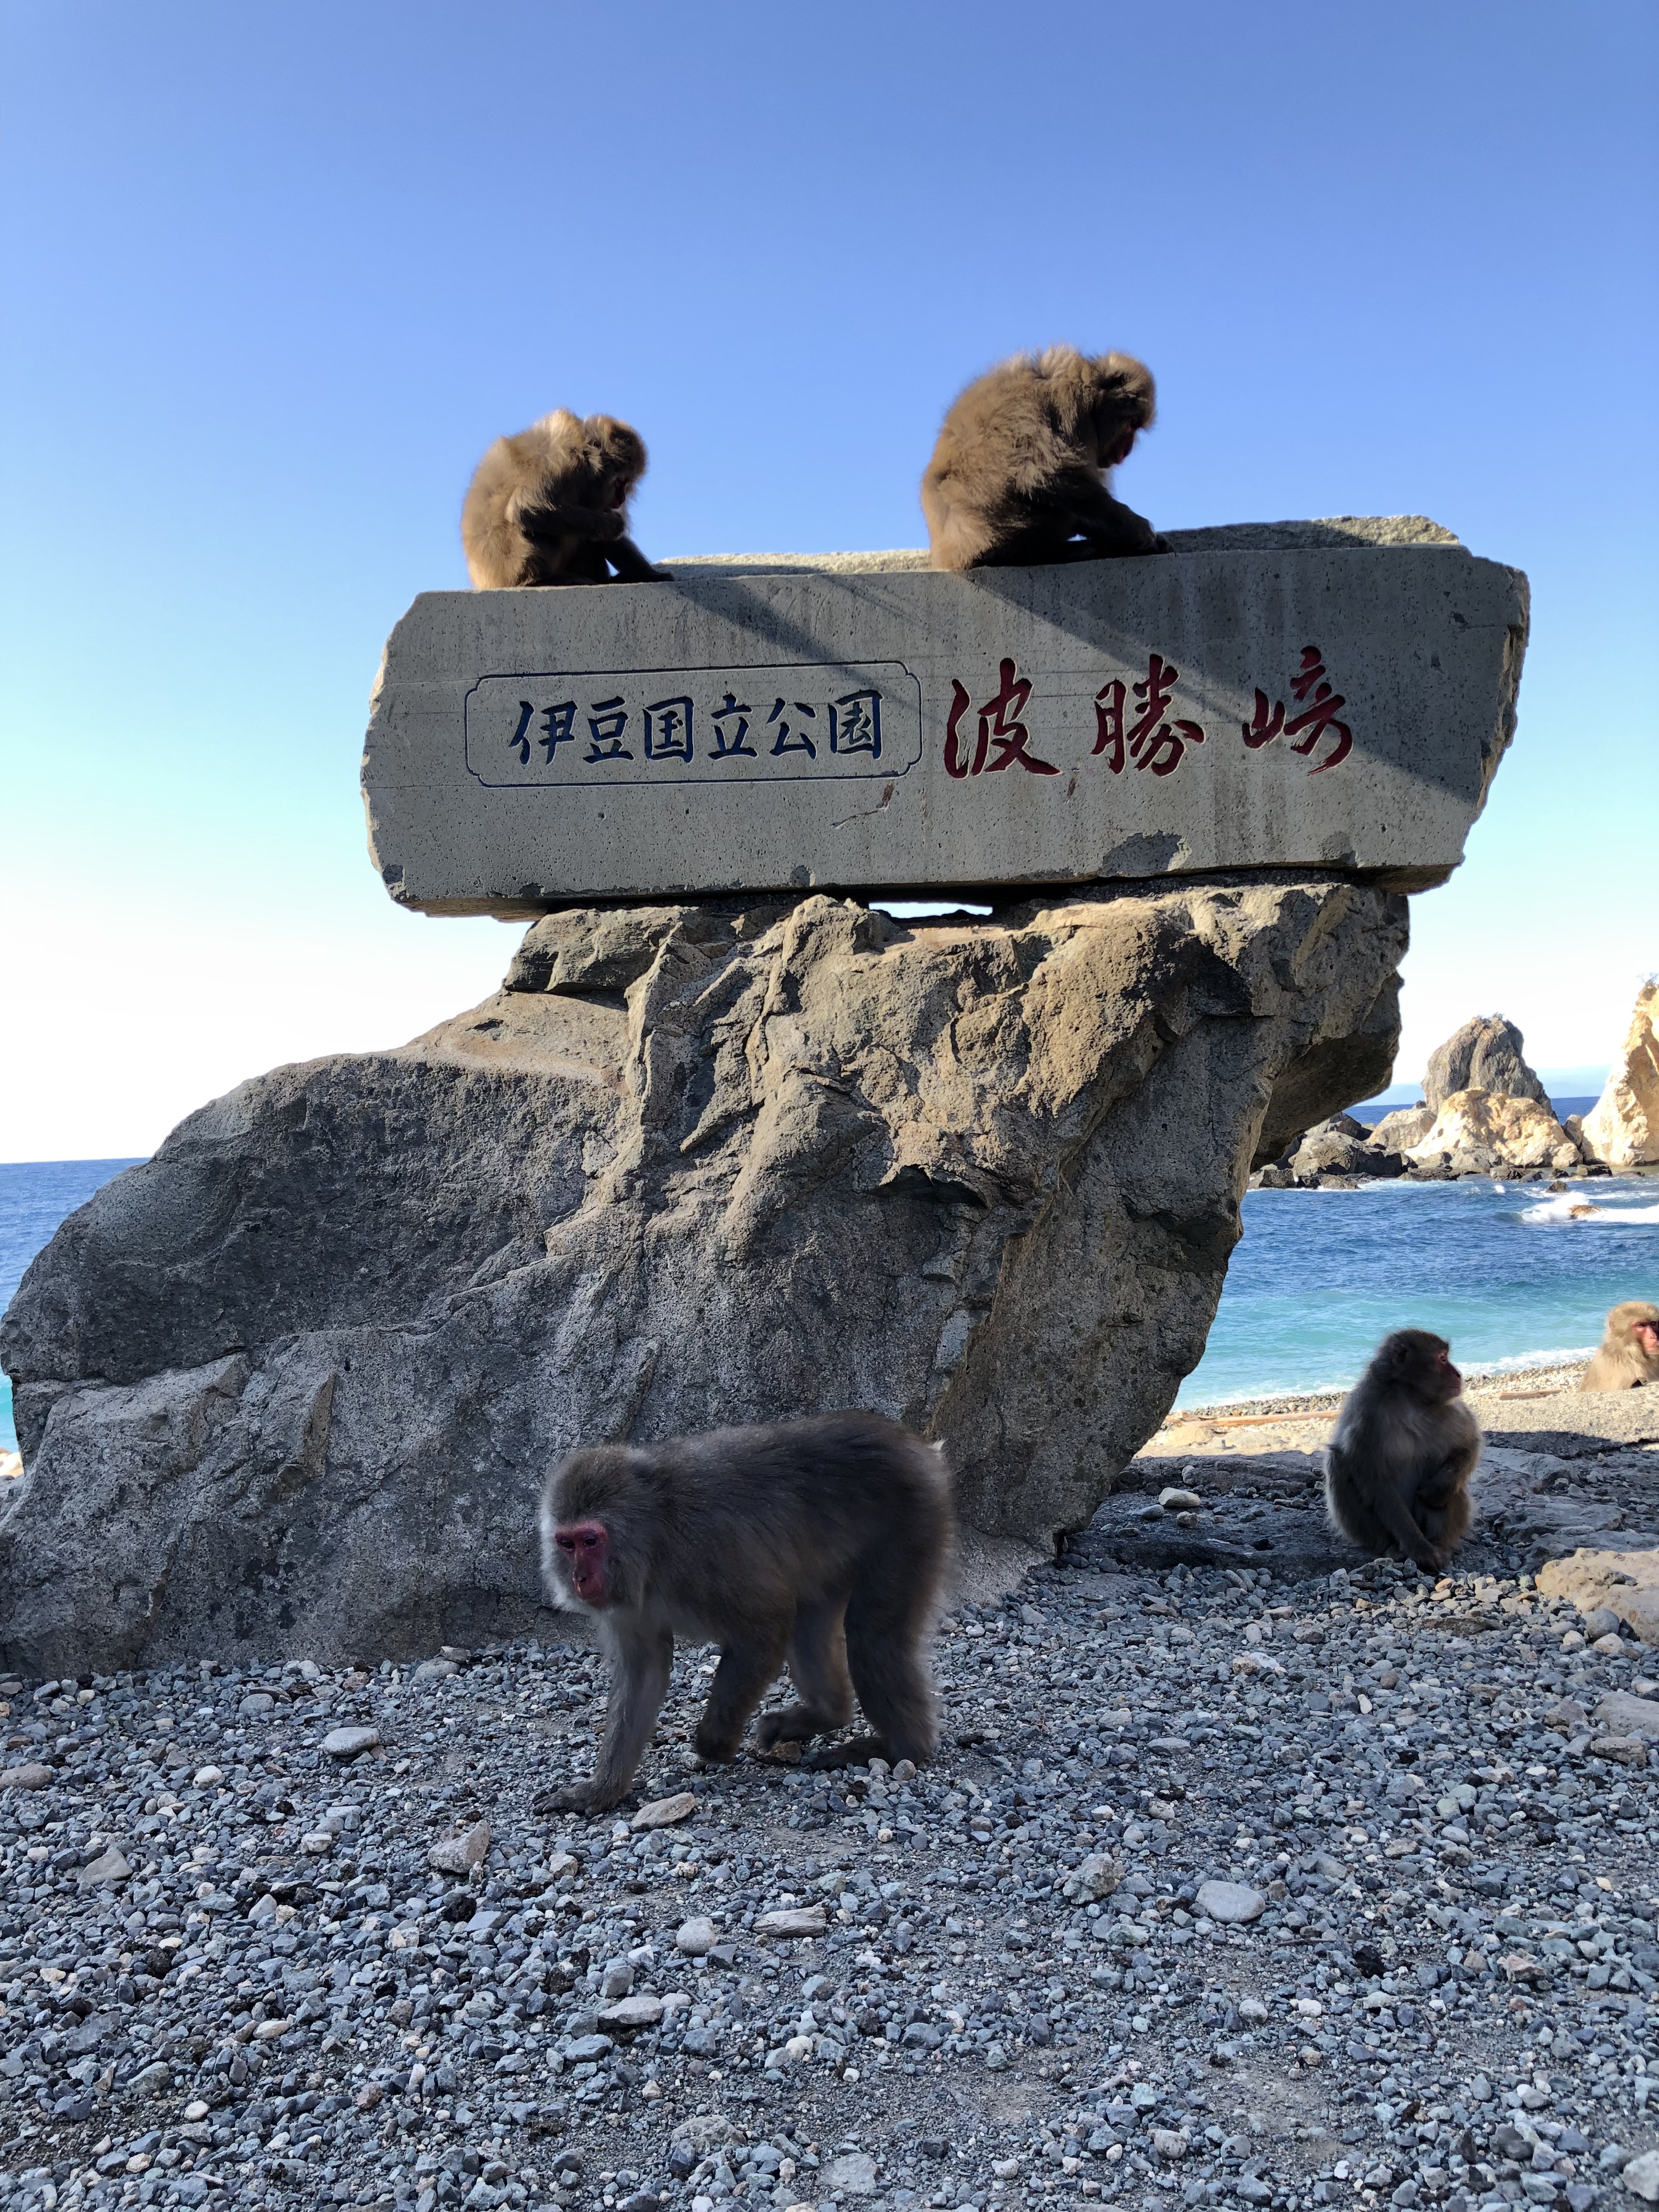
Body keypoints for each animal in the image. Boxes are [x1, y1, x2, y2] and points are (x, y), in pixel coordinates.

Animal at [460, 408, 670, 588]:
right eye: (620, 482)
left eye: (628, 484)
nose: (622, 499)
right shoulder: (565, 464)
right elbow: (524, 508)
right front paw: (616, 525)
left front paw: (650, 575)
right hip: (514, 564)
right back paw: (538, 581)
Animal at [537, 1411, 953, 1813]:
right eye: (567, 1544)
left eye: (591, 1541)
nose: (580, 1578)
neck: (654, 1536)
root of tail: (918, 1449)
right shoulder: (627, 1599)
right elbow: (644, 1670)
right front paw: (600, 1791)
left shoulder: (706, 1550)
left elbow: (765, 1628)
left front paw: (715, 1742)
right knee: (809, 1626)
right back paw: (827, 1715)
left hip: (912, 1521)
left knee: (871, 1635)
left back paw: (902, 1748)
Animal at [1323, 1329, 1482, 1572]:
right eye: (1442, 1359)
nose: (1458, 1374)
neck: (1410, 1400)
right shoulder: (1367, 1417)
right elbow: (1377, 1484)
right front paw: (1420, 1549)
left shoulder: (1451, 1409)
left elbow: (1468, 1446)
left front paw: (1437, 1490)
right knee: (1339, 1462)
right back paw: (1392, 1547)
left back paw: (1439, 1543)